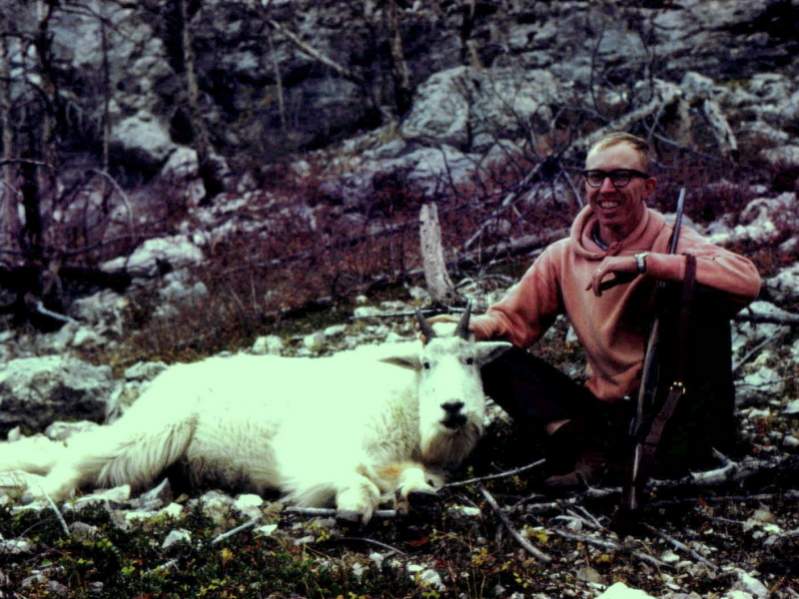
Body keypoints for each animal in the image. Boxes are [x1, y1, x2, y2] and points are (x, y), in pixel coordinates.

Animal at [0, 310, 510, 520]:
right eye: (426, 363)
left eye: (470, 360)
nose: (453, 409)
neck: (407, 407)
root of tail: (166, 378)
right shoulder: (317, 448)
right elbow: (356, 479)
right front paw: (353, 507)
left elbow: (414, 479)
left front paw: (417, 494)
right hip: (156, 431)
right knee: (76, 454)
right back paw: (34, 490)